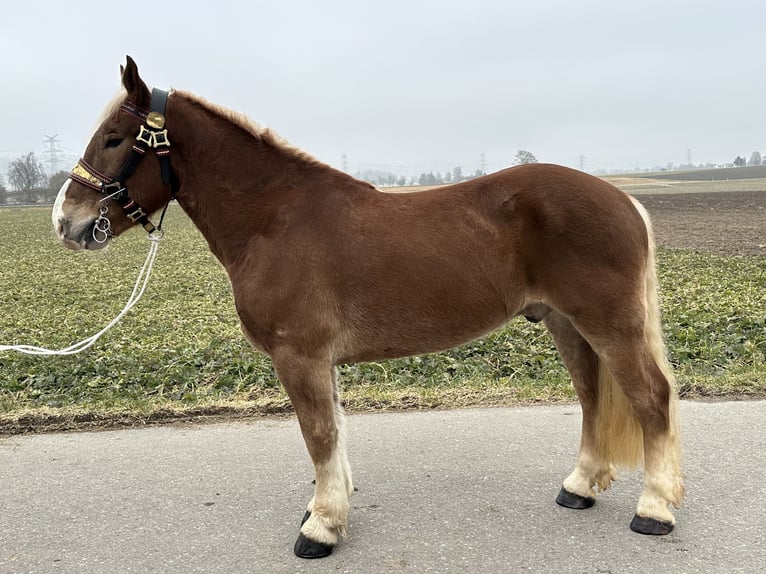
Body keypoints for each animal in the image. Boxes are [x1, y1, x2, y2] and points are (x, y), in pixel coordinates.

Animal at [52, 57, 684, 560]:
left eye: (114, 138)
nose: (66, 221)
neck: (274, 218)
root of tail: (623, 198)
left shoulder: (299, 356)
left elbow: (318, 435)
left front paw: (322, 527)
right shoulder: (317, 361)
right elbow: (333, 432)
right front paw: (326, 508)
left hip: (610, 325)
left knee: (652, 398)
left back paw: (654, 509)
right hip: (567, 324)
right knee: (593, 396)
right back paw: (579, 486)